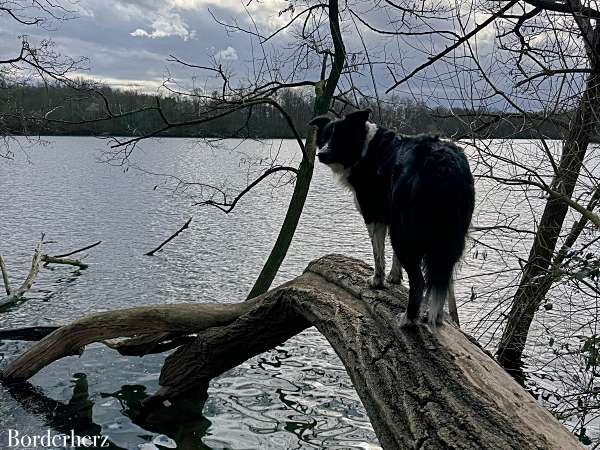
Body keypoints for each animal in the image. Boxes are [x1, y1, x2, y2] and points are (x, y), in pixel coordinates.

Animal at [310, 110, 474, 326]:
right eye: (324, 137)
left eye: (340, 137)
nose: (321, 154)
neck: (366, 148)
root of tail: (445, 165)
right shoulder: (390, 216)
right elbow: (392, 256)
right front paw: (394, 277)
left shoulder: (374, 215)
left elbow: (378, 254)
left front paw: (377, 281)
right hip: (449, 237)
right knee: (442, 277)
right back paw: (435, 316)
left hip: (406, 231)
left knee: (419, 281)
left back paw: (408, 319)